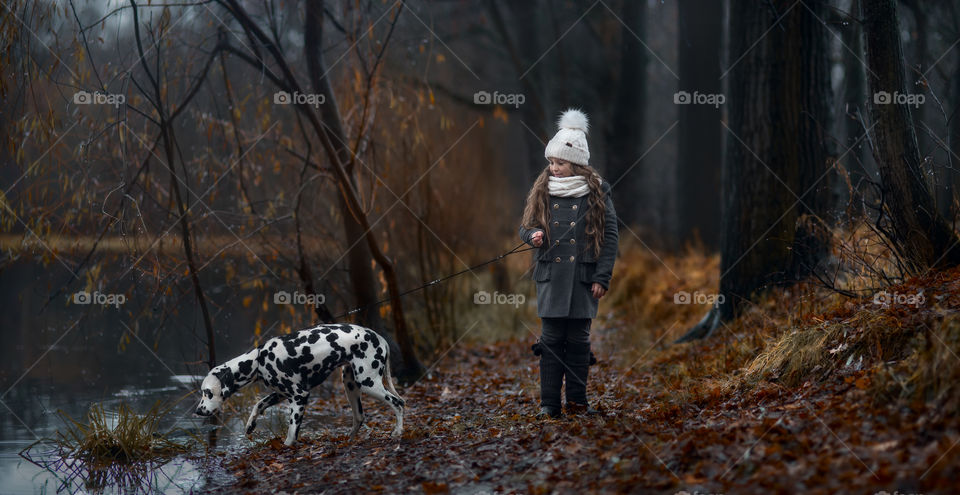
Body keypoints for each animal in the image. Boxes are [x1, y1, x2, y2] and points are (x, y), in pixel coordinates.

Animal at [195, 324, 404, 448]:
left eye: (207, 393)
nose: (198, 411)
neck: (258, 360)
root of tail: (381, 339)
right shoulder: (280, 394)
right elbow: (258, 404)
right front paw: (250, 425)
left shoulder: (299, 396)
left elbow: (292, 430)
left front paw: (287, 447)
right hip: (350, 384)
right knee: (360, 416)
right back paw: (348, 440)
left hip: (368, 383)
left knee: (398, 403)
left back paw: (397, 432)